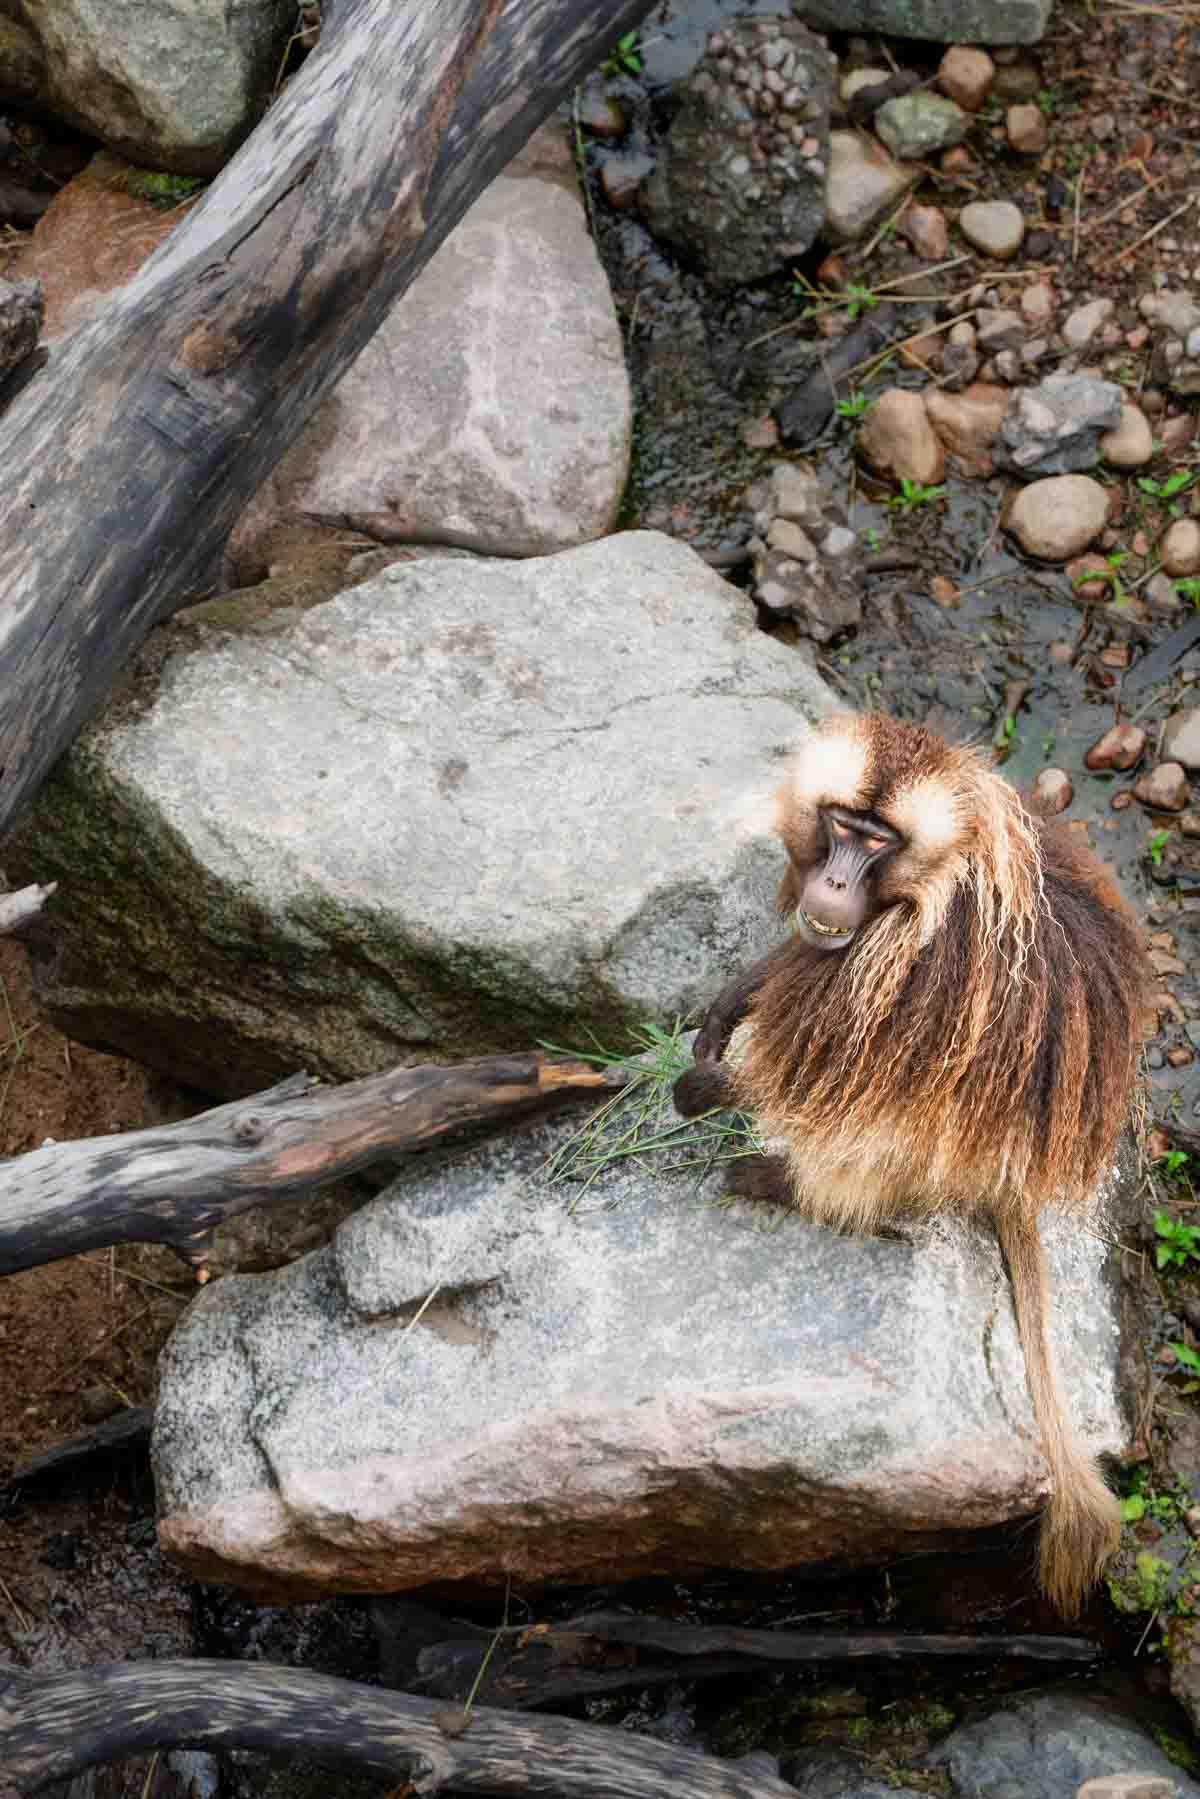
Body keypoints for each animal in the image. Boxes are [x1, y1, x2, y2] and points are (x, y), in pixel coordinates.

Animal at [674, 710, 1152, 1618]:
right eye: (839, 825)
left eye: (877, 842)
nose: (831, 882)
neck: (946, 867)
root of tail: (1014, 1174)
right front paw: (728, 1003)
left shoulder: (923, 960)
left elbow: (823, 1065)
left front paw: (708, 1087)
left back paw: (783, 1181)